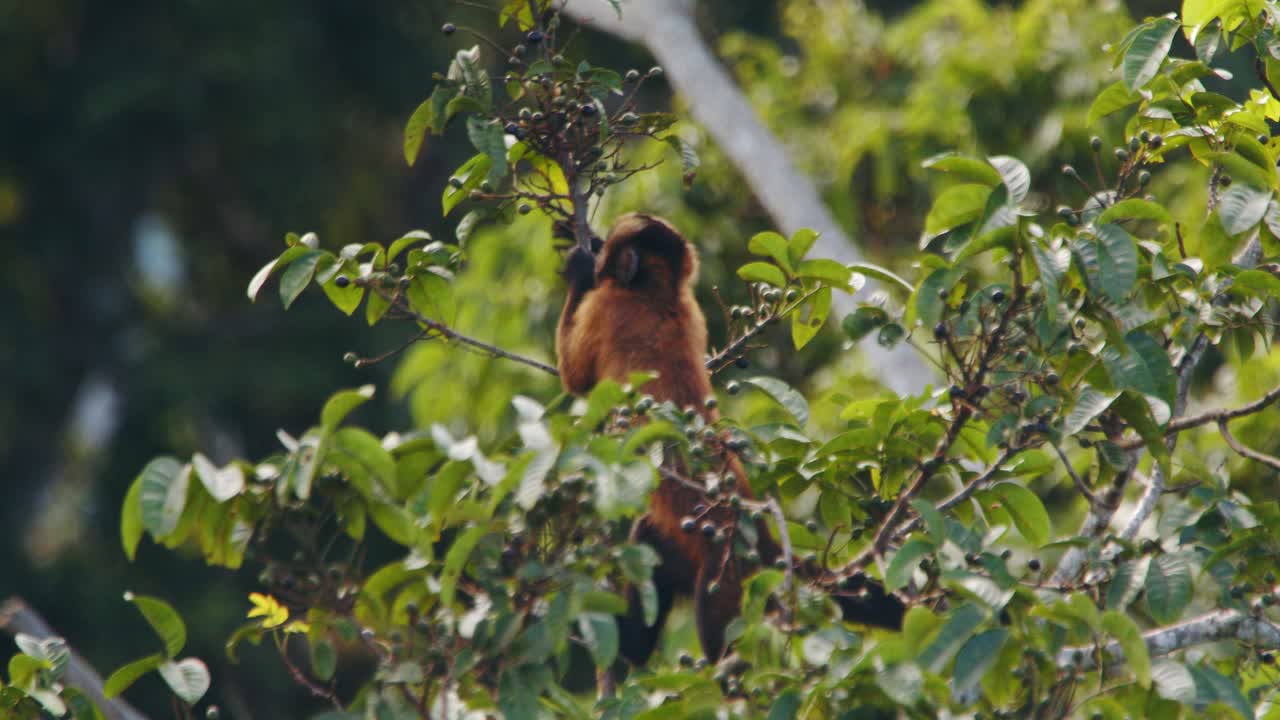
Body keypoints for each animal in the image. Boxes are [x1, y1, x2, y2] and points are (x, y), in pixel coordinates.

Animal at [556, 213, 904, 666]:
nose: (599, 263)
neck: (660, 292)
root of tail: (765, 542)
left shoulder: (606, 307)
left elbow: (574, 375)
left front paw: (581, 266)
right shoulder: (692, 310)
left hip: (731, 579)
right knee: (649, 541)